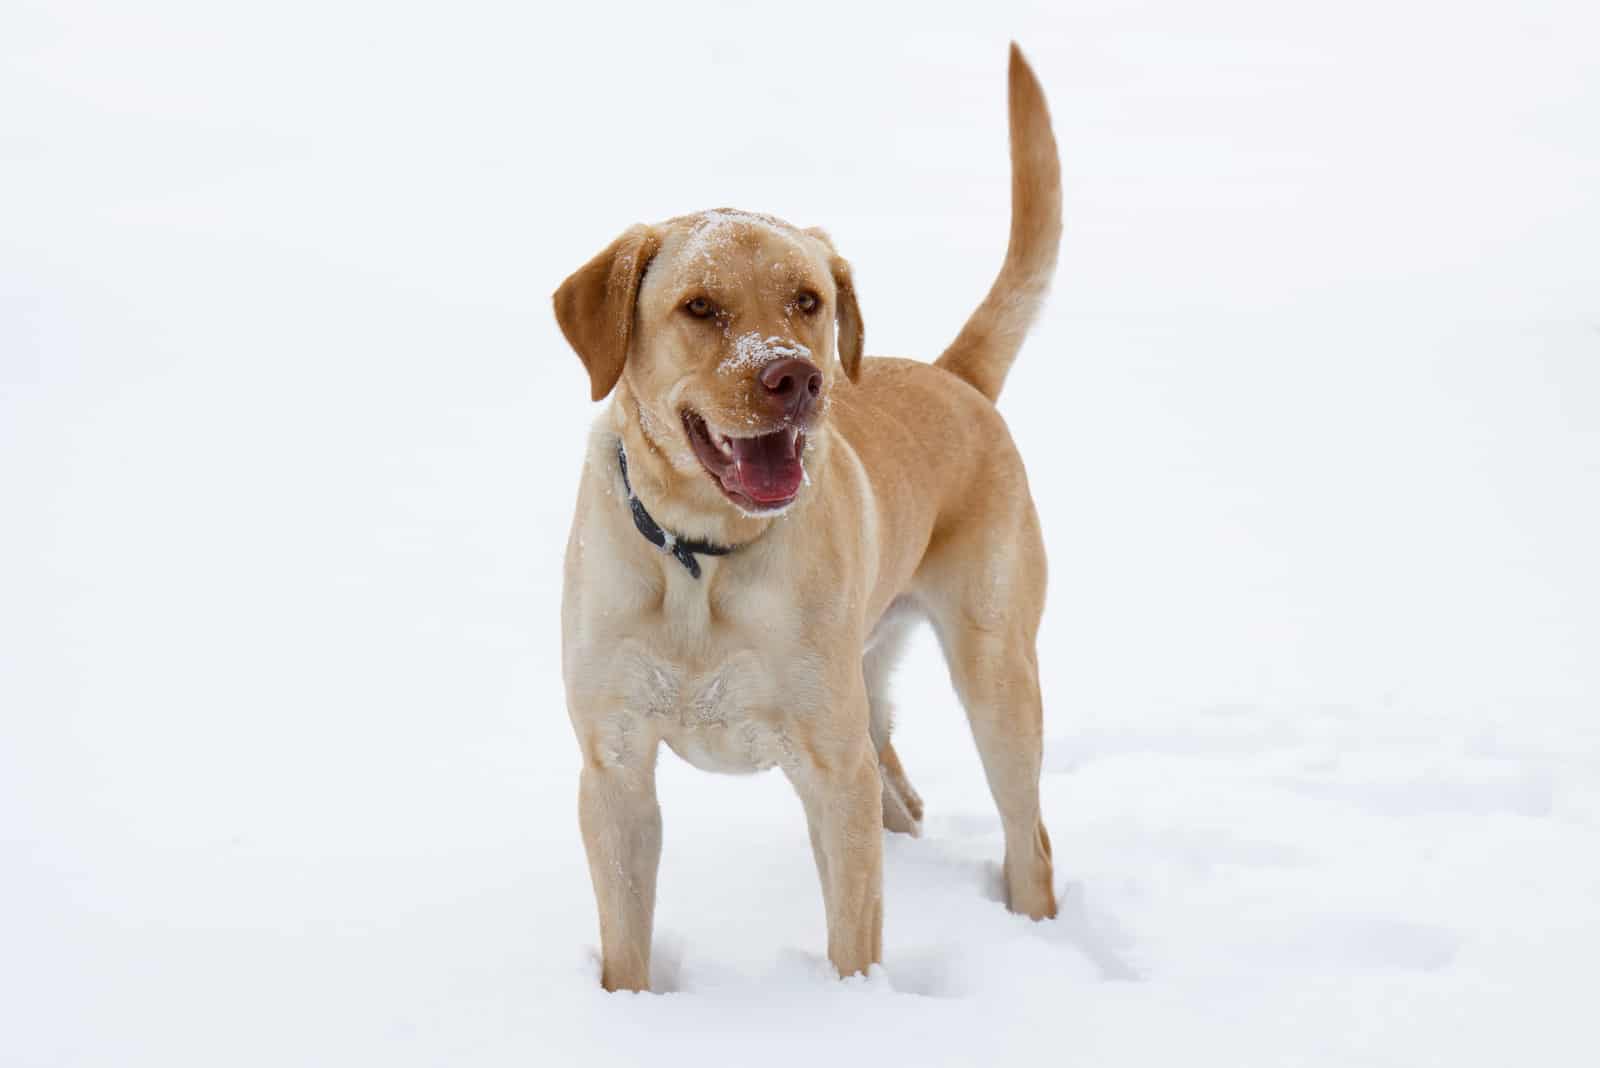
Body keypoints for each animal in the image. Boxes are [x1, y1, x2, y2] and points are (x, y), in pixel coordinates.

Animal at [553, 41, 1062, 991]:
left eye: (807, 300)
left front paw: (852, 1008)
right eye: (700, 307)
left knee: (1030, 838)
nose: (797, 377)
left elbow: (853, 939)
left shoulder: (832, 769)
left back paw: (1036, 928)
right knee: (907, 797)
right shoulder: (614, 766)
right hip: (873, 692)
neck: (702, 556)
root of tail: (956, 377)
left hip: (996, 677)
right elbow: (626, 941)